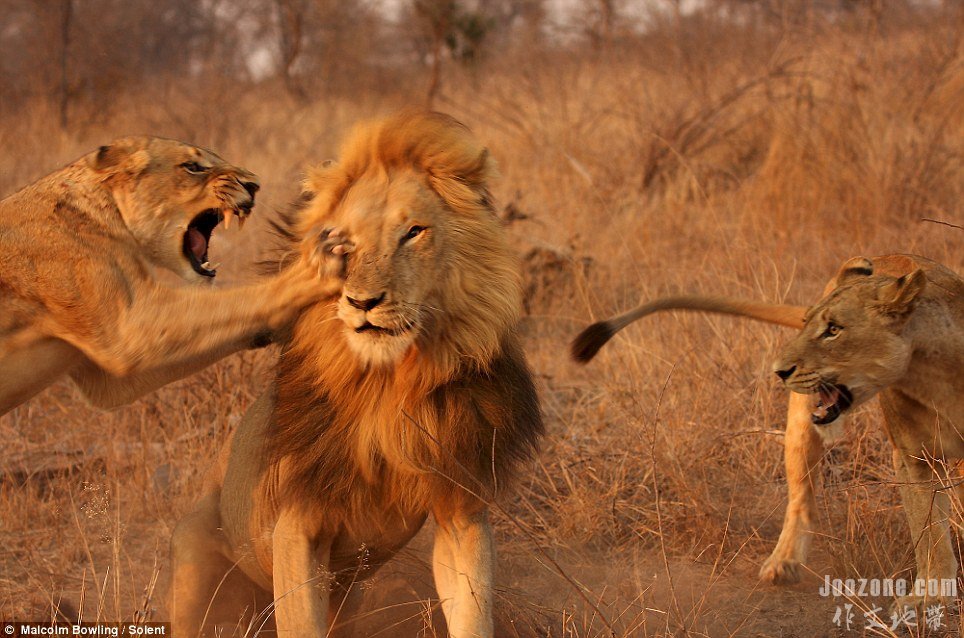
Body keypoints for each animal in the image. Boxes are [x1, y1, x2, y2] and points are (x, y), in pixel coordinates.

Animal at [0, 136, 346, 416]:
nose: (255, 184)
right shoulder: (126, 329)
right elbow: (242, 300)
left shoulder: (106, 376)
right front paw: (315, 265)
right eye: (193, 167)